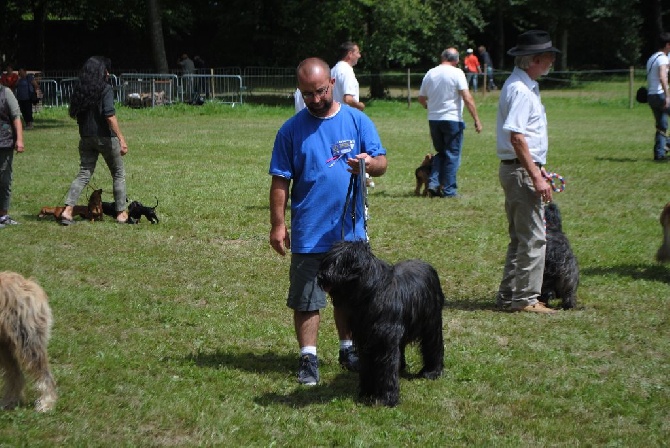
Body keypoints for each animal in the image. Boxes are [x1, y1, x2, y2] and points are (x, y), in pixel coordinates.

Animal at [0, 272, 57, 412]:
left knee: (44, 375)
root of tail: (28, 282)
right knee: (15, 375)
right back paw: (9, 402)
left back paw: (46, 403)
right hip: (5, 346)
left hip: (27, 341)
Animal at [318, 240, 446, 408]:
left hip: (431, 322)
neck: (370, 292)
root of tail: (427, 265)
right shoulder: (366, 341)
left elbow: (387, 369)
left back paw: (432, 371)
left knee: (433, 344)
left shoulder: (385, 341)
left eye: (337, 263)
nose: (320, 276)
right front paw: (367, 392)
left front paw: (387, 398)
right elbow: (368, 367)